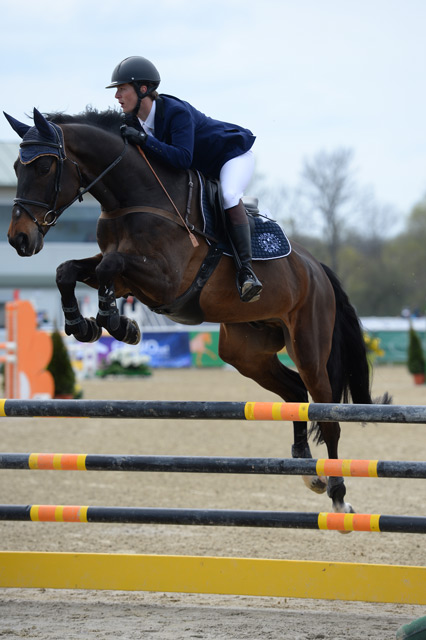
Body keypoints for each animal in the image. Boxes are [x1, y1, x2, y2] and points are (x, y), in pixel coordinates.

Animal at [4, 105, 390, 516]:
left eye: (45, 166)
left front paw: (117, 324)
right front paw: (86, 325)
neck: (134, 198)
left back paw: (337, 494)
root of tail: (317, 268)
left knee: (327, 413)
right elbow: (68, 271)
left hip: (309, 345)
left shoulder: (164, 280)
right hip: (245, 351)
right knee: (295, 393)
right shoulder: (129, 278)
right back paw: (306, 467)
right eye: (15, 167)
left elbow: (109, 267)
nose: (19, 239)